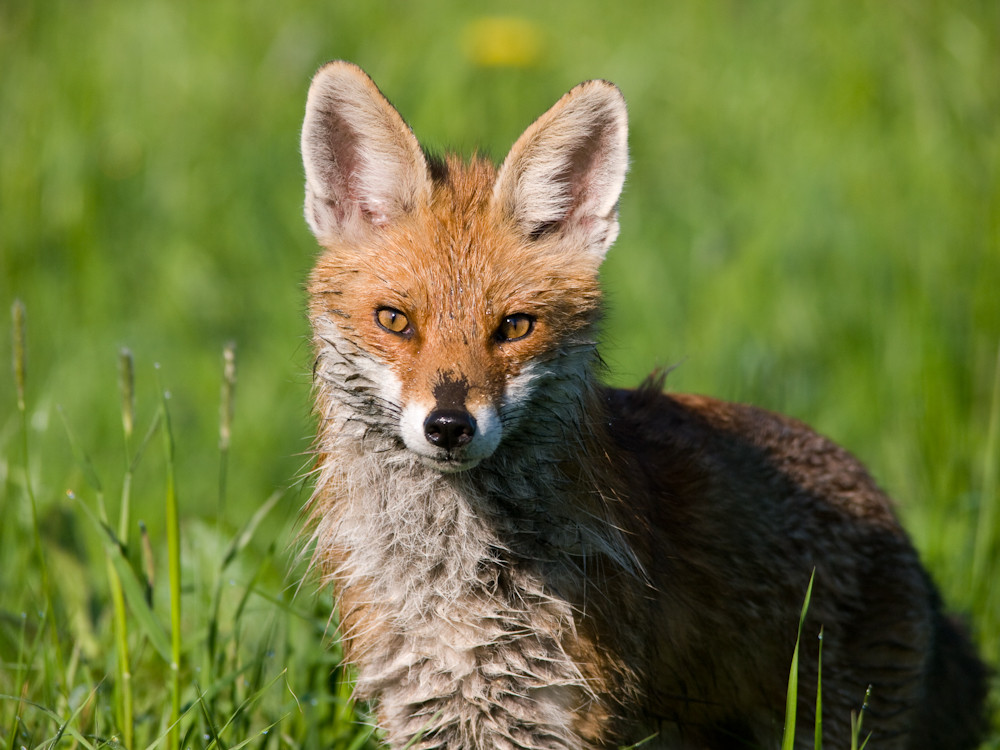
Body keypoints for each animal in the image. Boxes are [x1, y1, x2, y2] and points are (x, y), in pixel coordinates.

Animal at [294, 60, 984, 750]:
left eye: (514, 327)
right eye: (395, 320)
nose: (448, 426)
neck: (458, 576)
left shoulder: (560, 713)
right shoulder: (431, 708)